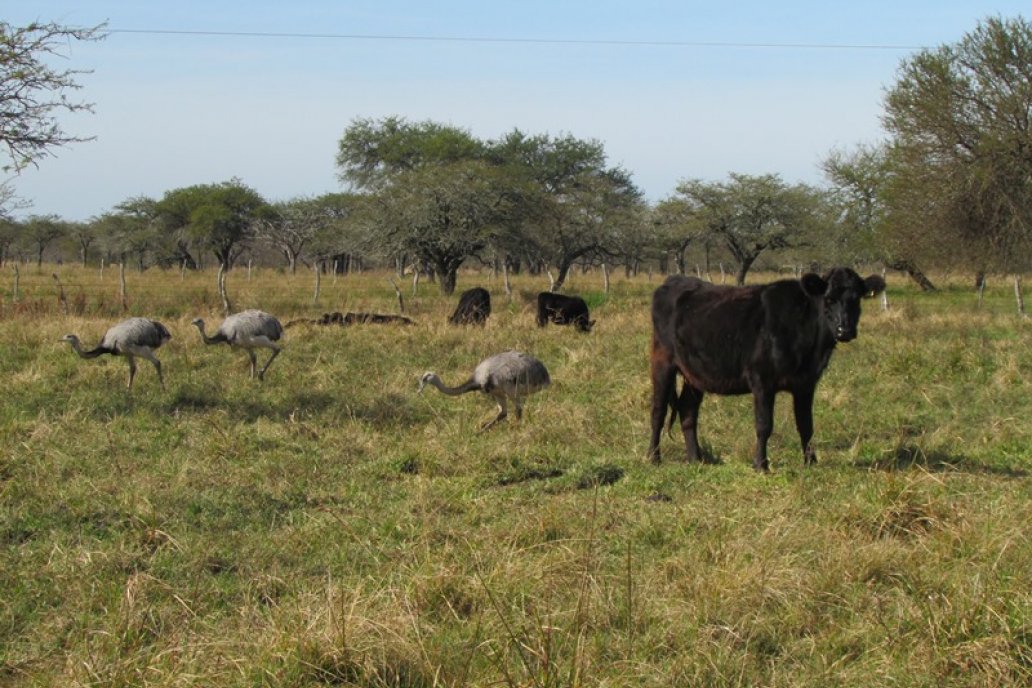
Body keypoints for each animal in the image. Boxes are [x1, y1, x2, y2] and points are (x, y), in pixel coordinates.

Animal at [648, 268, 883, 474]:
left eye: (856, 299)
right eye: (829, 299)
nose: (845, 330)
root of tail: (675, 280)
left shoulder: (806, 383)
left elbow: (806, 425)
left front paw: (811, 462)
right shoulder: (762, 380)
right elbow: (764, 425)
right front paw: (761, 465)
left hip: (695, 374)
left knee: (688, 410)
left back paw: (696, 459)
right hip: (662, 362)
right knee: (658, 411)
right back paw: (653, 457)